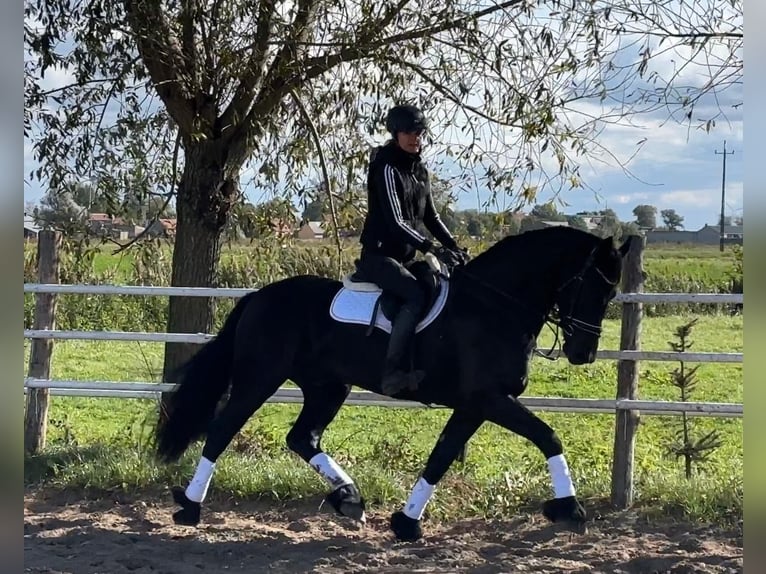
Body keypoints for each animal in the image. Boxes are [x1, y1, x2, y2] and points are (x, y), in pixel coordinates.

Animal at [158, 227, 636, 544]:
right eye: (594, 286)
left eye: (613, 292)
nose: (583, 353)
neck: (495, 306)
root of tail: (258, 296)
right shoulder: (490, 399)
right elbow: (548, 436)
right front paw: (569, 509)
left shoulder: (475, 405)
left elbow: (441, 456)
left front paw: (407, 522)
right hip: (260, 378)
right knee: (222, 430)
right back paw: (190, 508)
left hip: (327, 387)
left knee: (302, 437)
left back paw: (349, 498)